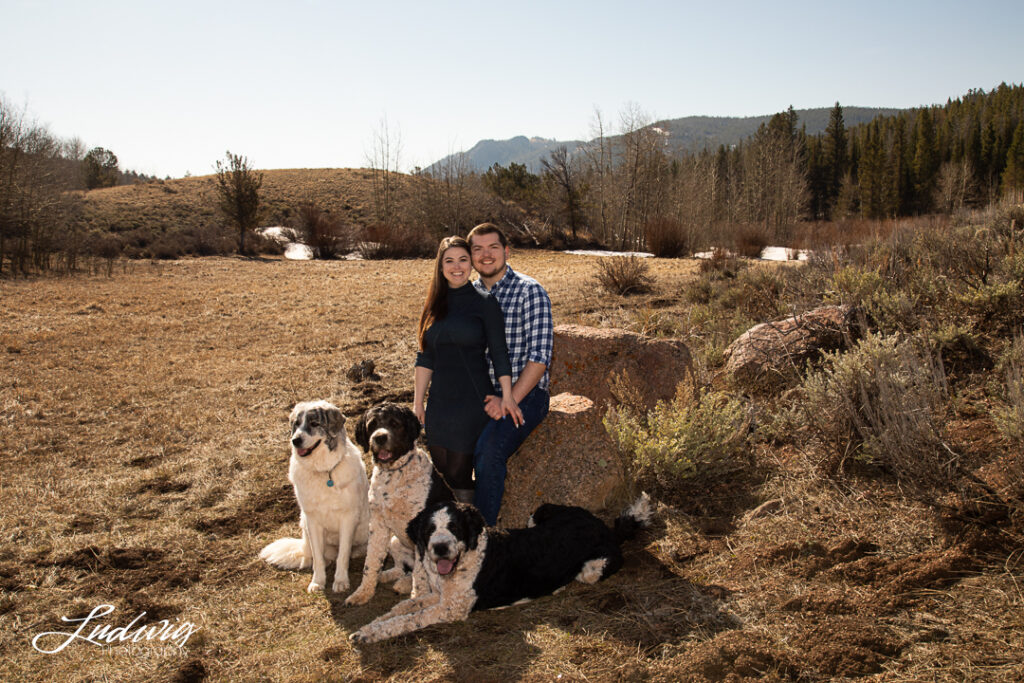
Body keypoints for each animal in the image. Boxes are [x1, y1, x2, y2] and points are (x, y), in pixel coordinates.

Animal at [258, 401, 370, 593]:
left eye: (314, 423)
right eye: (296, 424)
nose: (295, 440)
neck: (324, 472)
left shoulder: (347, 519)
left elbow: (343, 555)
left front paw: (340, 581)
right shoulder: (312, 521)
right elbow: (318, 558)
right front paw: (317, 582)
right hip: (304, 527)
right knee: (312, 556)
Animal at [342, 403, 454, 606]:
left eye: (395, 423)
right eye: (372, 424)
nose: (379, 437)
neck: (394, 473)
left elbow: (420, 574)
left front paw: (417, 598)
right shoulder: (377, 525)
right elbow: (371, 561)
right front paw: (363, 592)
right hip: (394, 542)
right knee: (403, 568)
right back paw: (390, 578)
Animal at [352, 493, 651, 643]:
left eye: (455, 527)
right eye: (429, 530)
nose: (440, 548)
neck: (470, 555)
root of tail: (605, 527)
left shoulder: (451, 609)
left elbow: (408, 619)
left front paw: (371, 633)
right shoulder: (438, 596)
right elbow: (403, 608)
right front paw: (371, 625)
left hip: (591, 568)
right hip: (539, 512)